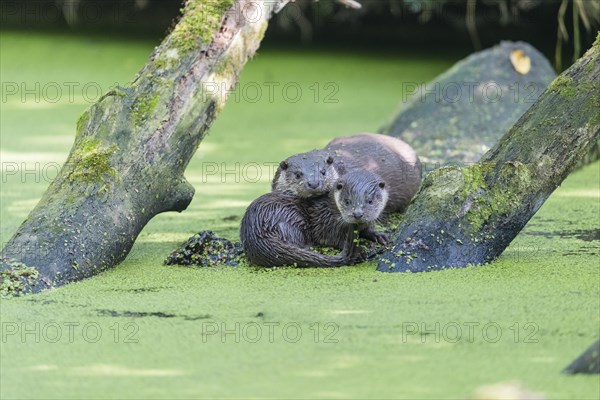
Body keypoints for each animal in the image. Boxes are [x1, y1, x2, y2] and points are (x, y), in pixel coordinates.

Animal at [240, 170, 390, 268]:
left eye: (370, 201)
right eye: (347, 201)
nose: (357, 214)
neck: (331, 209)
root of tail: (255, 234)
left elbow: (368, 229)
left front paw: (379, 235)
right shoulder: (326, 222)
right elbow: (334, 239)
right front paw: (360, 250)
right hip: (288, 217)